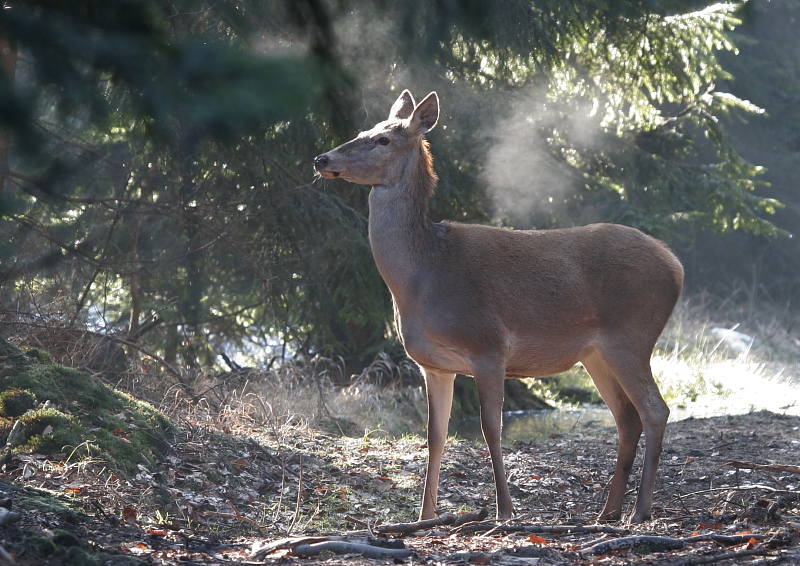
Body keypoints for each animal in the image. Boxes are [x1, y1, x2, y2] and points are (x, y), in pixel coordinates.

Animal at [312, 91, 680, 524]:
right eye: (362, 129)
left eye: (383, 139)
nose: (322, 159)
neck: (423, 277)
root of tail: (676, 266)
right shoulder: (434, 365)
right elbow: (435, 435)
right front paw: (424, 516)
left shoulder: (488, 346)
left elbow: (491, 428)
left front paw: (505, 510)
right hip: (595, 354)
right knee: (627, 418)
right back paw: (608, 511)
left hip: (632, 335)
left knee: (655, 411)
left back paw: (639, 511)